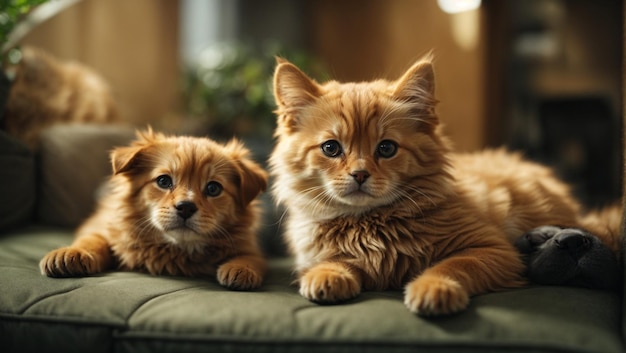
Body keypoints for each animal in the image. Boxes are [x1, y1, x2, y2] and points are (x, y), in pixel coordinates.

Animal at [38, 129, 268, 288]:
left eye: (213, 188)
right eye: (164, 181)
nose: (185, 207)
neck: (174, 249)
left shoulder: (248, 246)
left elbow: (252, 257)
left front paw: (240, 268)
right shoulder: (103, 228)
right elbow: (93, 239)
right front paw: (72, 253)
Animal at [268, 55, 620, 316]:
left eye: (386, 148)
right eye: (331, 148)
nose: (360, 174)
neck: (372, 224)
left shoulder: (493, 249)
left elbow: (450, 266)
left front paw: (432, 289)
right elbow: (333, 261)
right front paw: (327, 275)